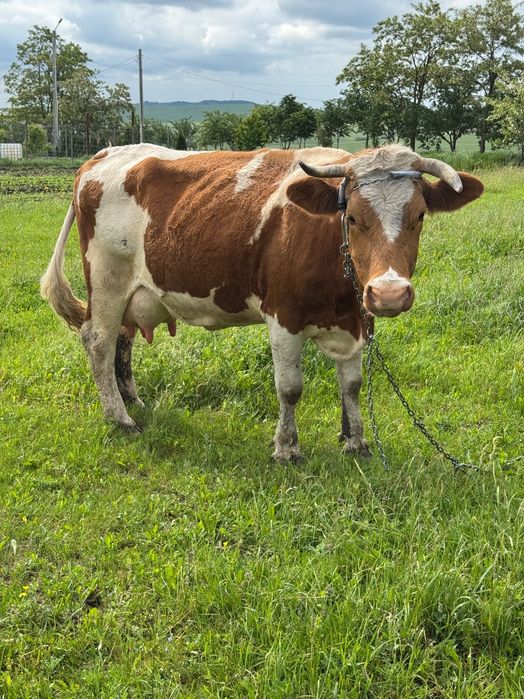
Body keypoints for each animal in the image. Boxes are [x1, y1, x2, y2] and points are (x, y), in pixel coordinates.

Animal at [41, 144, 483, 461]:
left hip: (132, 290)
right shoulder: (283, 316)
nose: (389, 293)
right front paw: (286, 447)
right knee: (99, 341)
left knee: (123, 339)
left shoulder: (357, 318)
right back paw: (120, 417)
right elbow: (290, 388)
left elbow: (353, 384)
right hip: (107, 280)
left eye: (420, 215)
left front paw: (355, 441)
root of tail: (101, 156)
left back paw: (132, 399)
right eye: (353, 217)